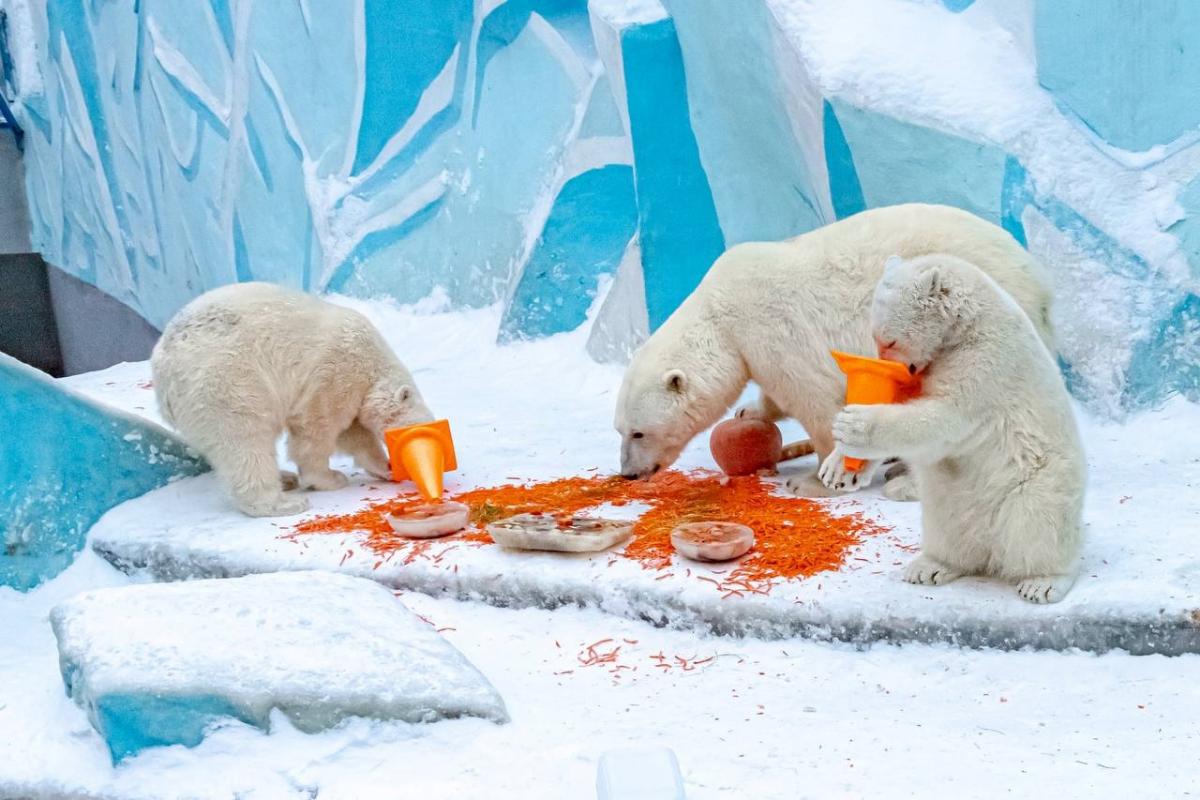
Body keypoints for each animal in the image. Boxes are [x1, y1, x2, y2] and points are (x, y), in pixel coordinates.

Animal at [148, 284, 432, 515]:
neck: (372, 360)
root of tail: (163, 365)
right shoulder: (334, 372)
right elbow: (317, 427)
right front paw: (328, 479)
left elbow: (353, 433)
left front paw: (383, 466)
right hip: (226, 379)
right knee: (245, 439)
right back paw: (282, 502)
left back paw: (284, 479)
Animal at [614, 203, 1056, 496]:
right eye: (620, 430)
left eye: (639, 432)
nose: (628, 474)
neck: (720, 314)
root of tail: (1039, 283)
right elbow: (775, 395)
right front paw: (749, 410)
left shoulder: (772, 327)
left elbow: (816, 398)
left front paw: (819, 478)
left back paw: (905, 482)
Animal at [835, 253, 1089, 604]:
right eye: (876, 338)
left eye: (890, 340)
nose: (883, 360)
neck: (968, 325)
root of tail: (992, 543)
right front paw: (844, 465)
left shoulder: (988, 362)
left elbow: (946, 419)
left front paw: (851, 425)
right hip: (950, 499)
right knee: (948, 529)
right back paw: (930, 567)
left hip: (1040, 481)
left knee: (1036, 524)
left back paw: (1042, 582)